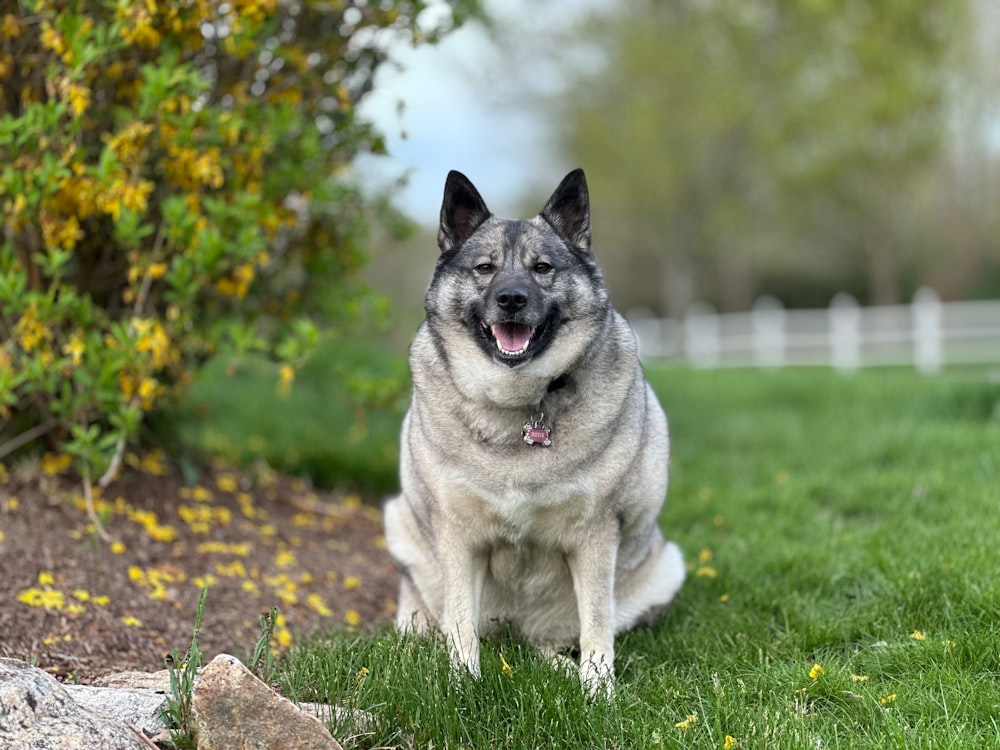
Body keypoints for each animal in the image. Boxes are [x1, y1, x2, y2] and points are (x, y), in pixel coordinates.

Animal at [378, 170, 684, 700]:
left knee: (560, 641)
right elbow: (461, 624)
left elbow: (597, 626)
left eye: (542, 268)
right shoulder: (459, 538)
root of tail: (517, 632)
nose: (512, 299)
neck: (519, 402)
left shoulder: (594, 538)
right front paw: (463, 687)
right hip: (403, 531)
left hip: (663, 566)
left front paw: (598, 693)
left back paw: (561, 667)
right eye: (484, 268)